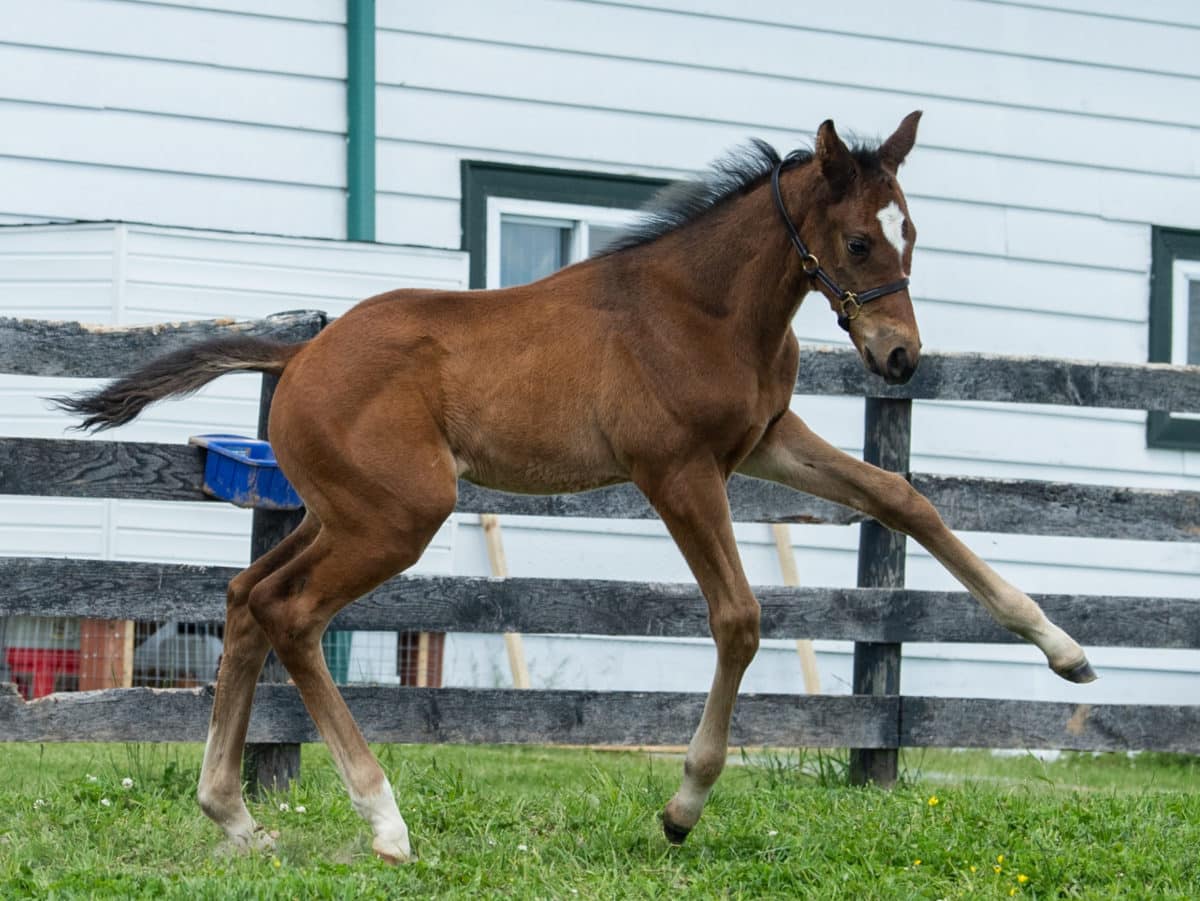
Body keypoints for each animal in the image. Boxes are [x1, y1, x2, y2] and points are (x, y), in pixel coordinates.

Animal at [58, 112, 1099, 859]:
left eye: (909, 233)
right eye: (854, 243)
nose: (899, 358)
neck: (707, 309)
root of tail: (300, 351)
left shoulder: (766, 441)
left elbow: (902, 496)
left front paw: (1065, 649)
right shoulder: (676, 469)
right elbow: (738, 618)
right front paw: (682, 806)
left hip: (346, 510)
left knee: (246, 597)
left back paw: (235, 814)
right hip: (400, 516)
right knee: (292, 611)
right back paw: (385, 820)